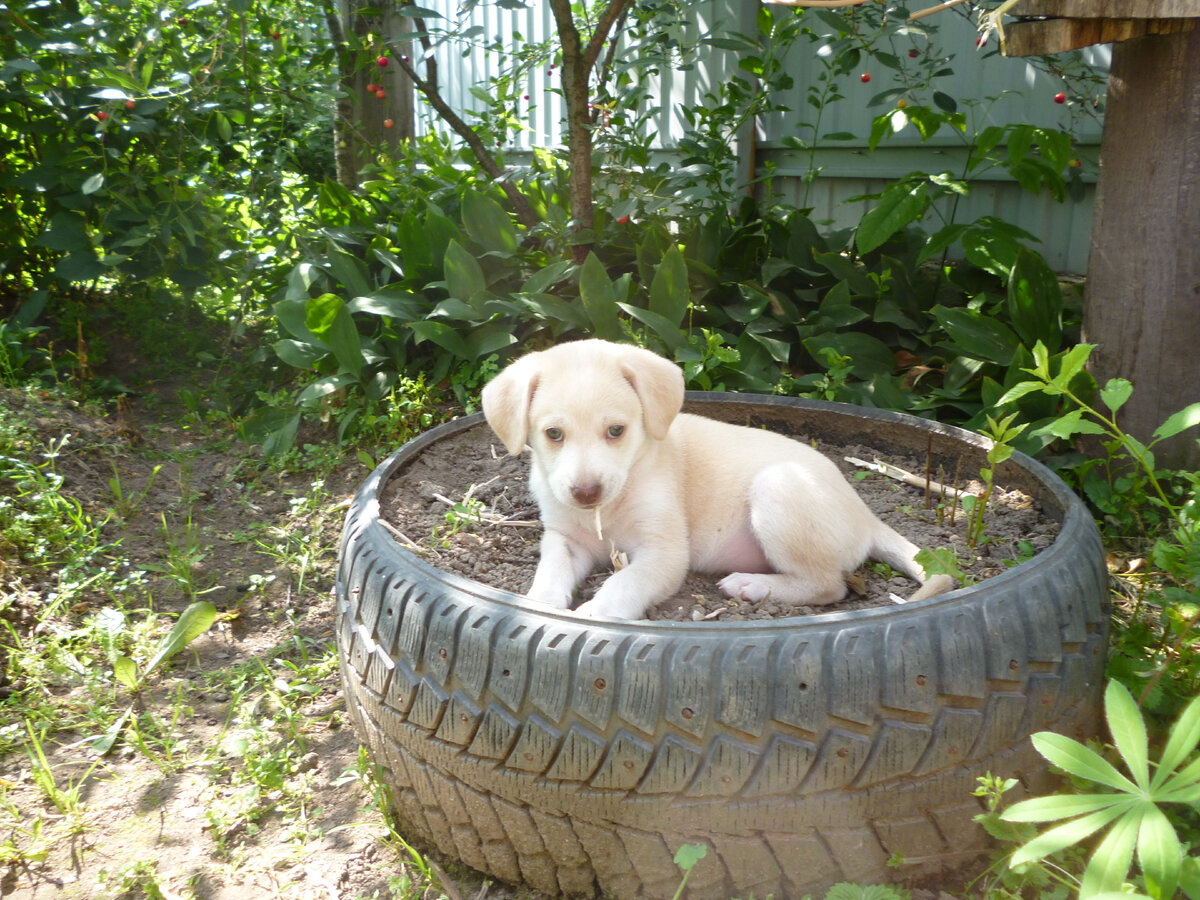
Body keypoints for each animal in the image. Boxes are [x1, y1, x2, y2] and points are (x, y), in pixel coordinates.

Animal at [480, 338, 955, 619]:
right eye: (553, 434)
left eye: (616, 431)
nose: (585, 493)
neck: (608, 508)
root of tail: (866, 514)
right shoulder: (565, 539)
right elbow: (553, 568)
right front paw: (539, 604)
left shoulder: (664, 553)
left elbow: (624, 582)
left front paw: (597, 614)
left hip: (779, 486)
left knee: (828, 586)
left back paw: (753, 585)